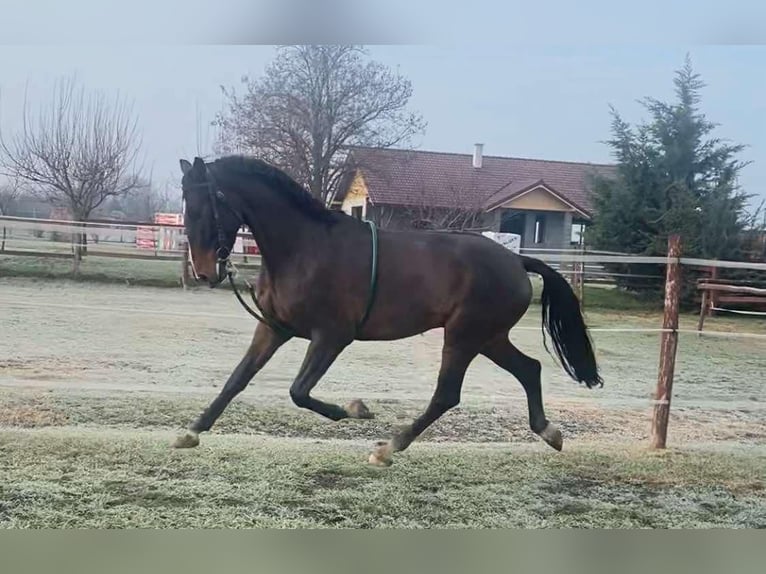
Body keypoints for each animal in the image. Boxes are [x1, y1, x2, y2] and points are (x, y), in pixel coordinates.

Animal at [174, 155, 602, 466]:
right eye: (186, 205)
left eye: (205, 206)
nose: (205, 271)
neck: (305, 249)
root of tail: (517, 261)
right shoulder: (274, 328)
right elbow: (236, 380)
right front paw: (192, 431)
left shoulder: (331, 337)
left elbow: (299, 391)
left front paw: (356, 409)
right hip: (489, 338)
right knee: (530, 369)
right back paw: (549, 432)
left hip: (464, 336)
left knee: (447, 395)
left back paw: (388, 448)